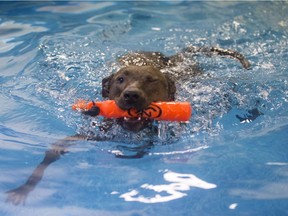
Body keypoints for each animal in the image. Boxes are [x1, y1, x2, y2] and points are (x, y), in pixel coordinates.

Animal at [5, 45, 251, 204]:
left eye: (151, 80)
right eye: (121, 79)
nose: (131, 95)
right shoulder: (87, 134)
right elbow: (50, 155)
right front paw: (24, 188)